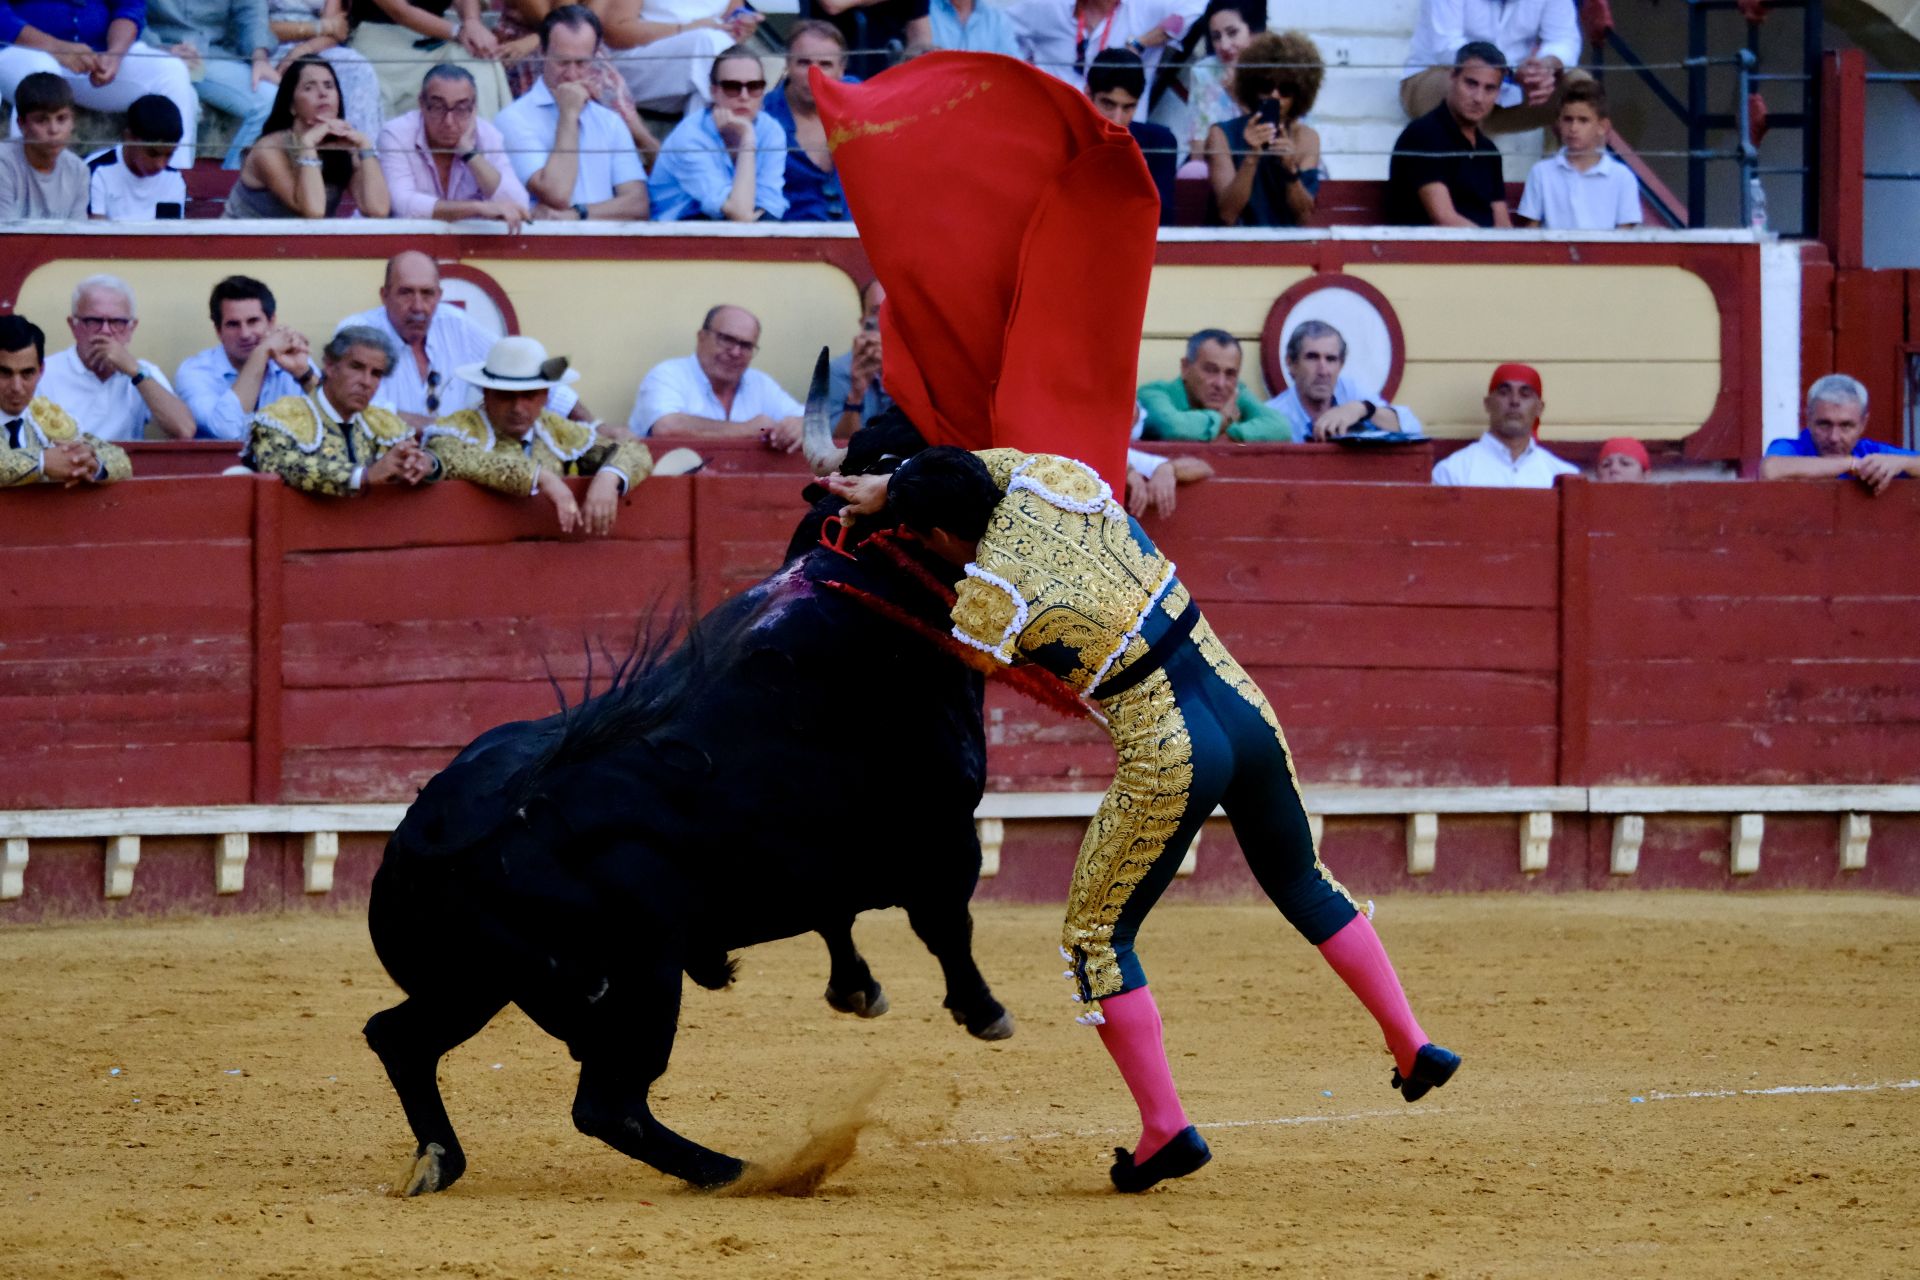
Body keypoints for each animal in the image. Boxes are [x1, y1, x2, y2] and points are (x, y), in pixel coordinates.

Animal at [364, 529, 1013, 1189]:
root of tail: (422, 833)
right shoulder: (944, 838)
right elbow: (945, 928)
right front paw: (983, 1011)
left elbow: (841, 919)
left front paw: (857, 987)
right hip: (638, 979)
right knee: (609, 1105)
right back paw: (747, 1173)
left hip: (473, 983)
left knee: (398, 1038)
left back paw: (439, 1161)